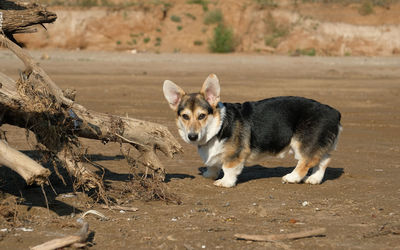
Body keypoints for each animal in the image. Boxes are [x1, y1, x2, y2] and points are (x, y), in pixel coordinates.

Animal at [162, 74, 340, 188]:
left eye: (202, 116)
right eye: (185, 116)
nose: (192, 136)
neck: (219, 125)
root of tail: (334, 112)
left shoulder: (234, 154)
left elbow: (228, 168)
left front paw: (225, 182)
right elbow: (213, 164)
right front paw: (209, 174)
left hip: (302, 142)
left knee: (306, 161)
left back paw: (292, 177)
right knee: (324, 159)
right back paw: (314, 179)